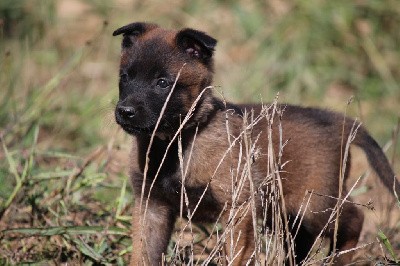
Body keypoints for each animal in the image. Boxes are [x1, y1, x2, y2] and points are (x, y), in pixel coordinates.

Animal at [111, 21, 398, 264]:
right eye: (125, 77)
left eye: (162, 83)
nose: (124, 111)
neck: (177, 141)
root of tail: (339, 122)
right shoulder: (151, 207)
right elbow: (143, 253)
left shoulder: (240, 208)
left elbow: (237, 254)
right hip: (286, 213)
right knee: (302, 241)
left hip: (314, 204)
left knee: (354, 219)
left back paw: (339, 259)